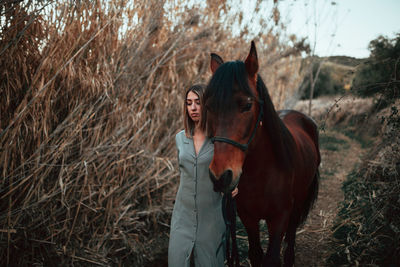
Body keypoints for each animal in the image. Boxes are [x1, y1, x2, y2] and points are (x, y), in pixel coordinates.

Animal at [205, 40, 320, 266]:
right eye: (210, 106)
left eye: (247, 104)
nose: (221, 176)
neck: (261, 173)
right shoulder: (248, 217)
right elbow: (256, 254)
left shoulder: (280, 217)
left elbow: (272, 257)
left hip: (299, 201)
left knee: (292, 233)